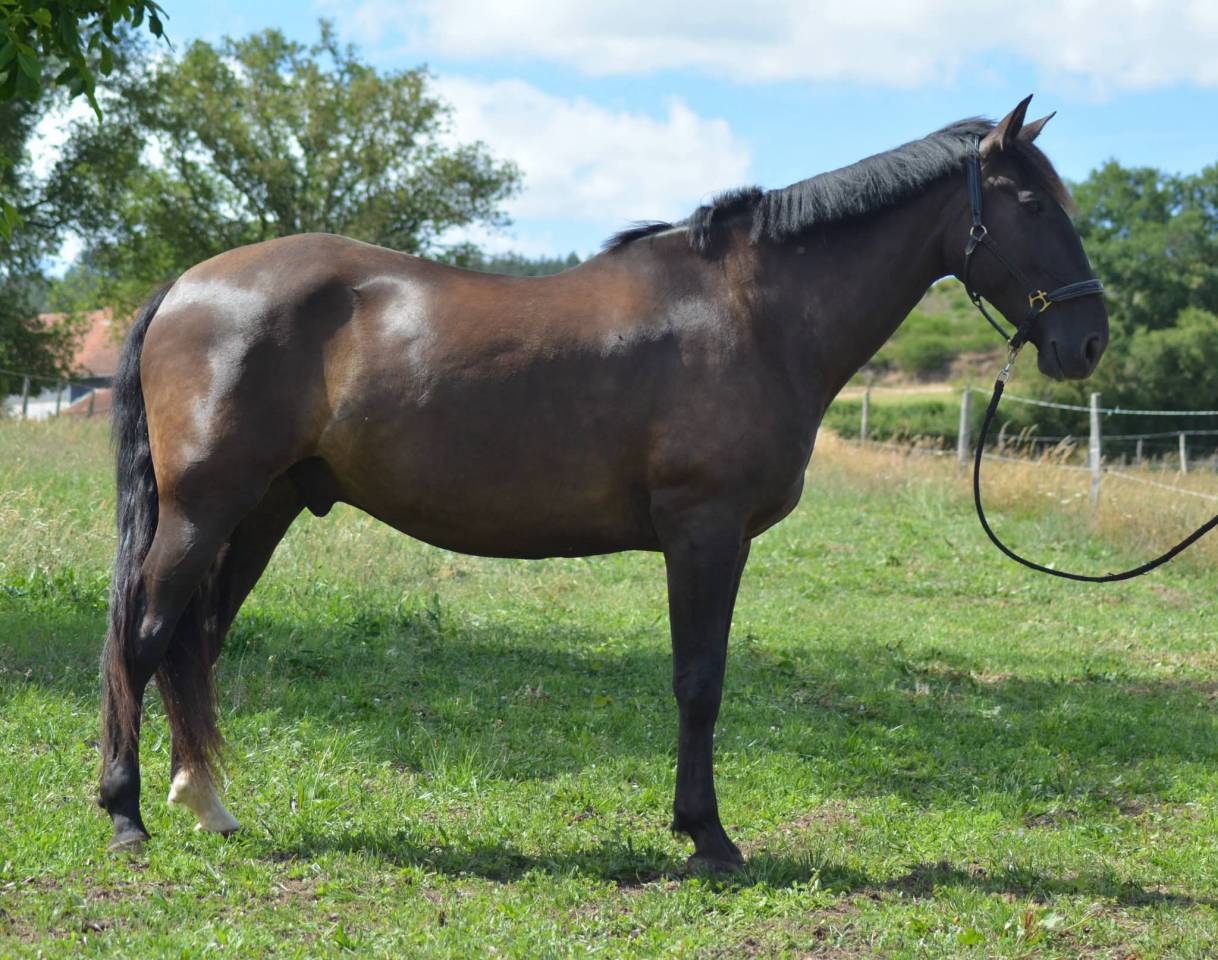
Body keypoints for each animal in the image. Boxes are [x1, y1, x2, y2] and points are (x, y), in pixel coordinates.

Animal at [98, 95, 1108, 871]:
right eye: (1029, 200)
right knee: (145, 638)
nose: (1087, 339)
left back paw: (208, 804)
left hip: (264, 509)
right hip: (204, 509)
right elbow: (699, 681)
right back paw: (126, 815)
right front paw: (708, 838)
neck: (752, 313)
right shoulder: (705, 532)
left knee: (195, 641)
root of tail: (187, 285)